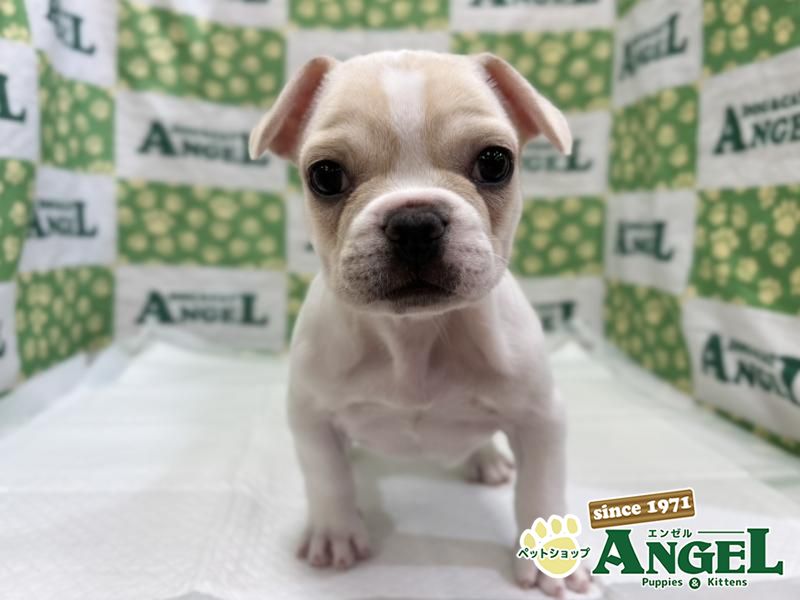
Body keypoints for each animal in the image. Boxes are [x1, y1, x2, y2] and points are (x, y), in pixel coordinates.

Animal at [249, 50, 591, 596]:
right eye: (325, 176)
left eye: (495, 163)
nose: (414, 222)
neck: (413, 334)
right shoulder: (311, 417)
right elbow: (327, 478)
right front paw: (336, 532)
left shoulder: (540, 418)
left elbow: (540, 488)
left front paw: (548, 562)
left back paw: (486, 459)